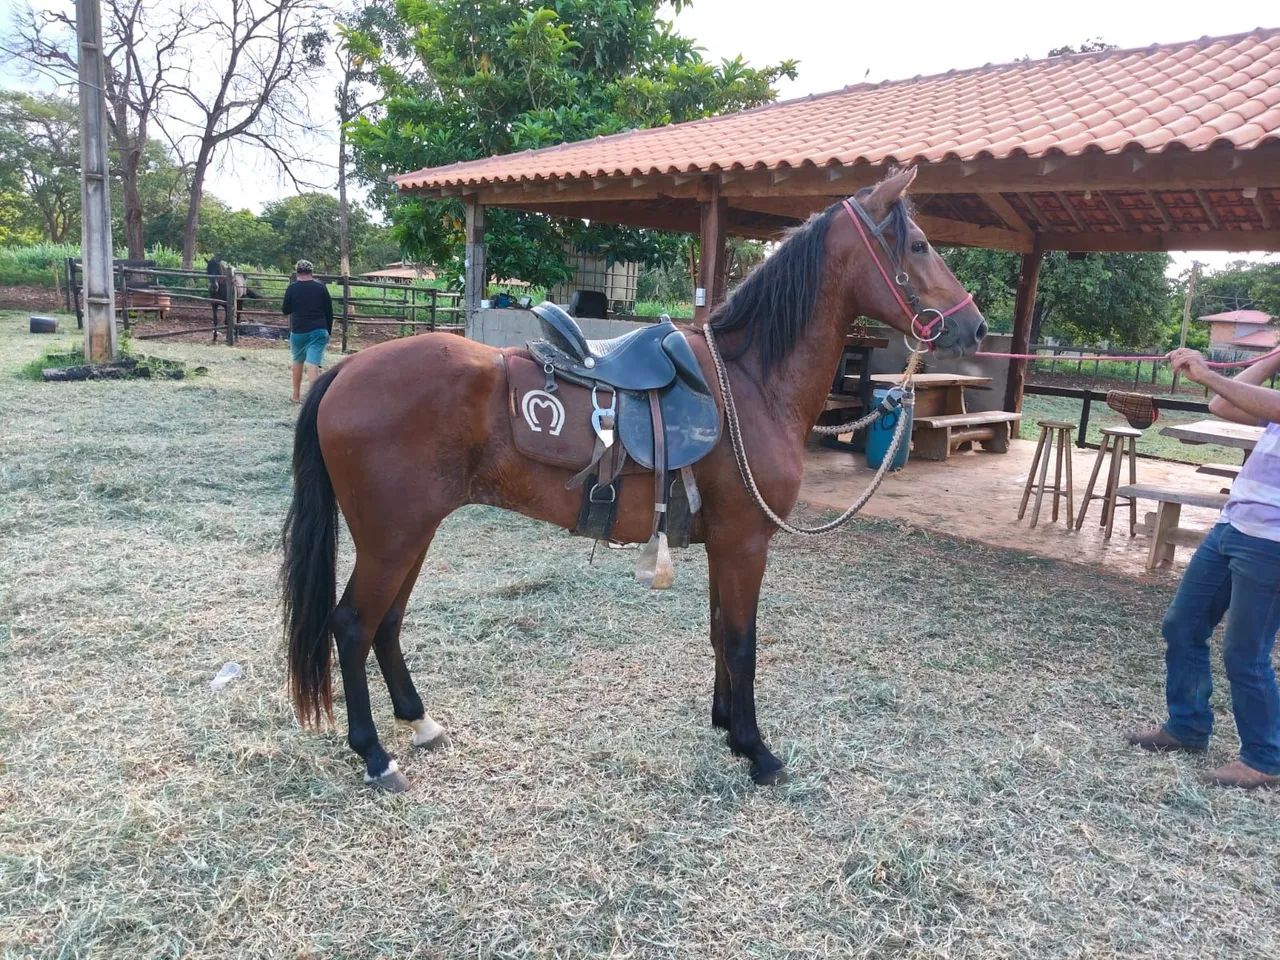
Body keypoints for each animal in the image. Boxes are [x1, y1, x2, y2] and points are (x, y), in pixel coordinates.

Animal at [282, 167, 987, 791]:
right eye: (919, 246)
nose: (974, 324)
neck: (750, 380)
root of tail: (345, 372)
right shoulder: (746, 541)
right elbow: (742, 641)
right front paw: (756, 751)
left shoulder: (725, 543)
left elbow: (719, 630)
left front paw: (727, 726)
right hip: (391, 537)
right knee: (353, 626)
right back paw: (375, 756)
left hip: (411, 534)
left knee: (387, 623)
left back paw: (420, 722)